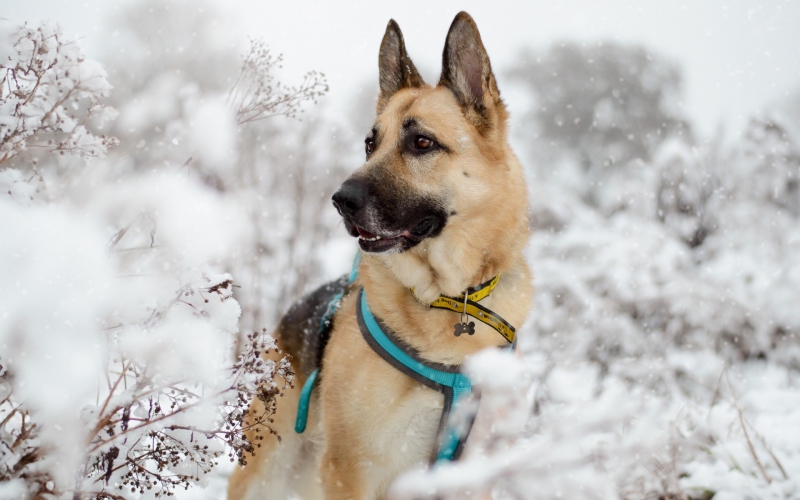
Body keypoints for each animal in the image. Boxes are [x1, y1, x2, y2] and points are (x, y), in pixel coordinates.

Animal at [228, 11, 532, 500]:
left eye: (422, 143)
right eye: (371, 144)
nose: (340, 200)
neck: (450, 302)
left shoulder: (471, 475)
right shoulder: (352, 470)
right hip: (270, 474)